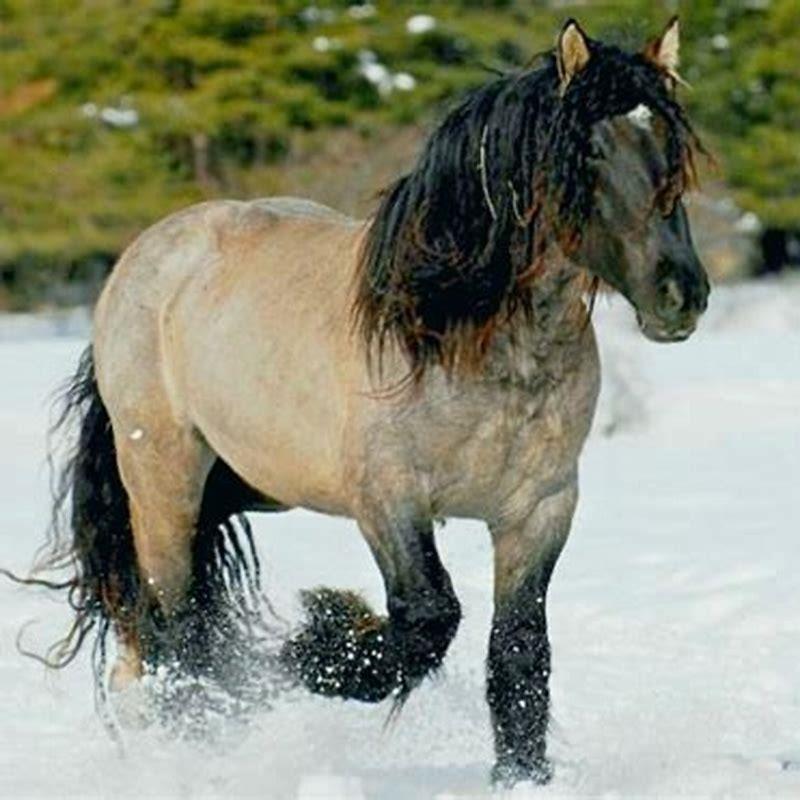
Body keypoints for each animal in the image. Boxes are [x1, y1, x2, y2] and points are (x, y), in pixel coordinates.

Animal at [19, 16, 709, 787]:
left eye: (674, 147)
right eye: (587, 149)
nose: (680, 294)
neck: (466, 341)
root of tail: (143, 259)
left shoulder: (540, 508)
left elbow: (520, 656)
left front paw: (521, 778)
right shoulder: (388, 495)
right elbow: (427, 617)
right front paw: (316, 644)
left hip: (248, 483)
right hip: (165, 483)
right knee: (176, 628)